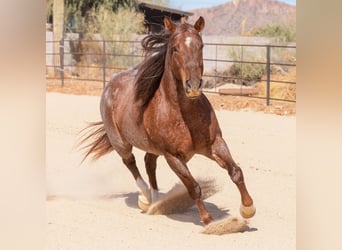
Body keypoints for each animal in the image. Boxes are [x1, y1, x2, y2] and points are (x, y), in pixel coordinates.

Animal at [80, 16, 255, 226]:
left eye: (201, 46)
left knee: (149, 163)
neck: (185, 116)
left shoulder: (215, 144)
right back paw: (145, 197)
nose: (193, 86)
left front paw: (248, 208)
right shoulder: (173, 156)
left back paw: (157, 201)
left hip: (153, 147)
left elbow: (236, 171)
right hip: (120, 142)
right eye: (175, 48)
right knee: (131, 162)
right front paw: (208, 220)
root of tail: (111, 84)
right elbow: (193, 186)